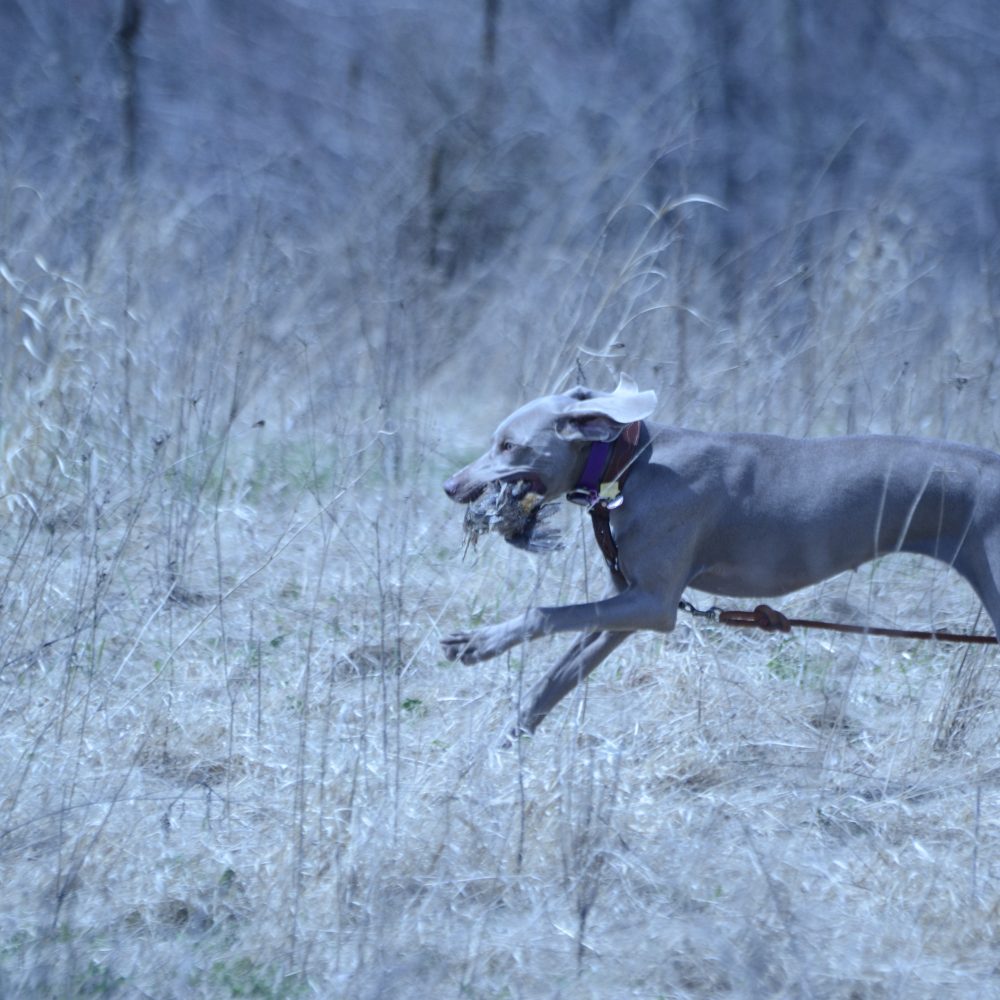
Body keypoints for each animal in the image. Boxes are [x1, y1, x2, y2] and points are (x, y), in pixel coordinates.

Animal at [444, 376, 1000, 736]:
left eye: (508, 446)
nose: (450, 486)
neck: (631, 465)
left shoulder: (654, 606)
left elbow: (543, 614)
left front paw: (479, 643)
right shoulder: (627, 602)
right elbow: (556, 677)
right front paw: (508, 741)